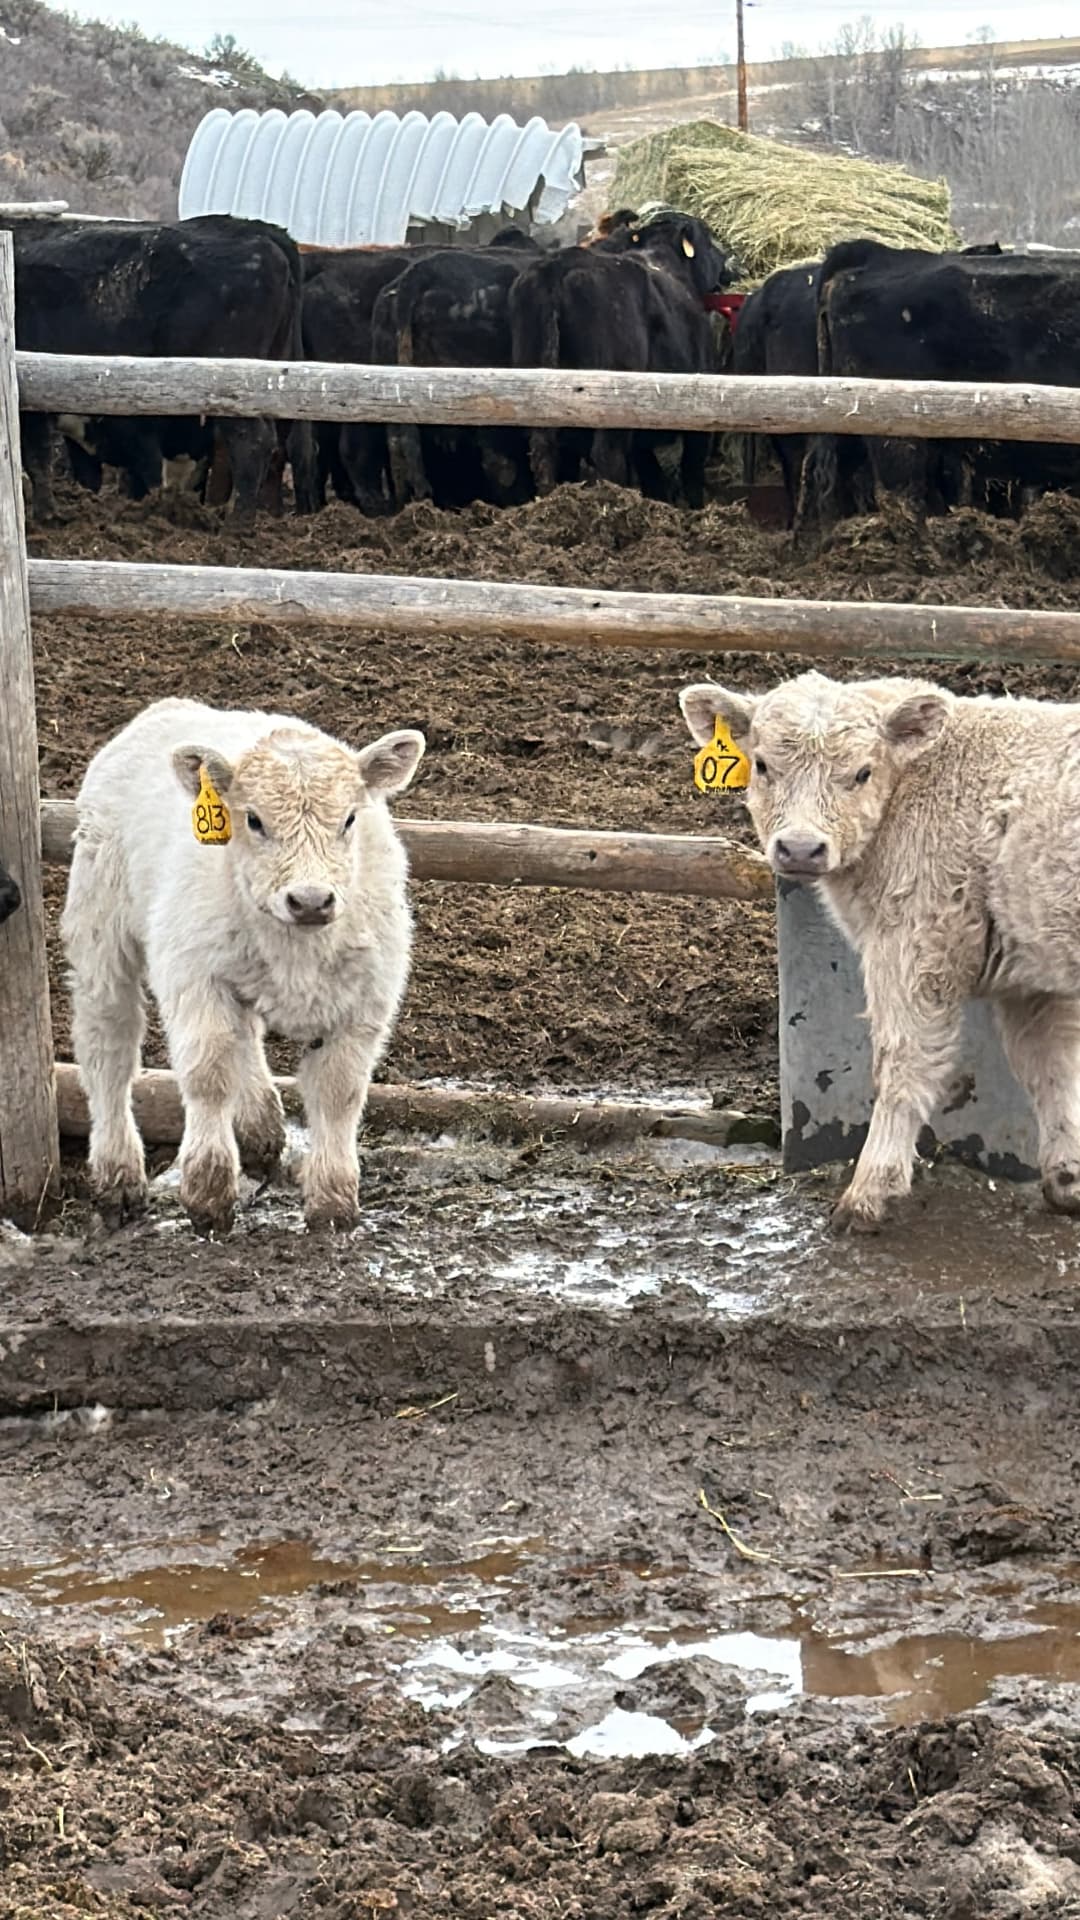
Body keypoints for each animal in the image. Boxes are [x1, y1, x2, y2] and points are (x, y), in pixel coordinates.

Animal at [11, 214, 318, 522]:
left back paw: (236, 523)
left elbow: (37, 459)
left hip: (236, 385)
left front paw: (47, 515)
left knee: (252, 443)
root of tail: (258, 230)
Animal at [62, 698, 426, 1234]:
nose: (311, 900)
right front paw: (208, 1195)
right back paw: (118, 1176)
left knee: (246, 1038)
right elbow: (209, 1074)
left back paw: (259, 1128)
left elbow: (338, 1091)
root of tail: (169, 706)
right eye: (253, 820)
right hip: (100, 928)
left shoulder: (365, 1001)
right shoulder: (195, 976)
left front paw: (333, 1201)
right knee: (109, 1045)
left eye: (349, 819)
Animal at [508, 212, 734, 507]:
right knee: (607, 453)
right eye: (708, 239)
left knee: (543, 447)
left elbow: (652, 475)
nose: (728, 262)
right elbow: (691, 469)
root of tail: (557, 267)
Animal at [681, 668, 1080, 1235]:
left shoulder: (915, 945)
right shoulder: (1032, 975)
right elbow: (1051, 1069)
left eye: (862, 772)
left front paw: (869, 1192)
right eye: (761, 765)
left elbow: (902, 1065)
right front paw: (1067, 1180)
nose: (800, 848)